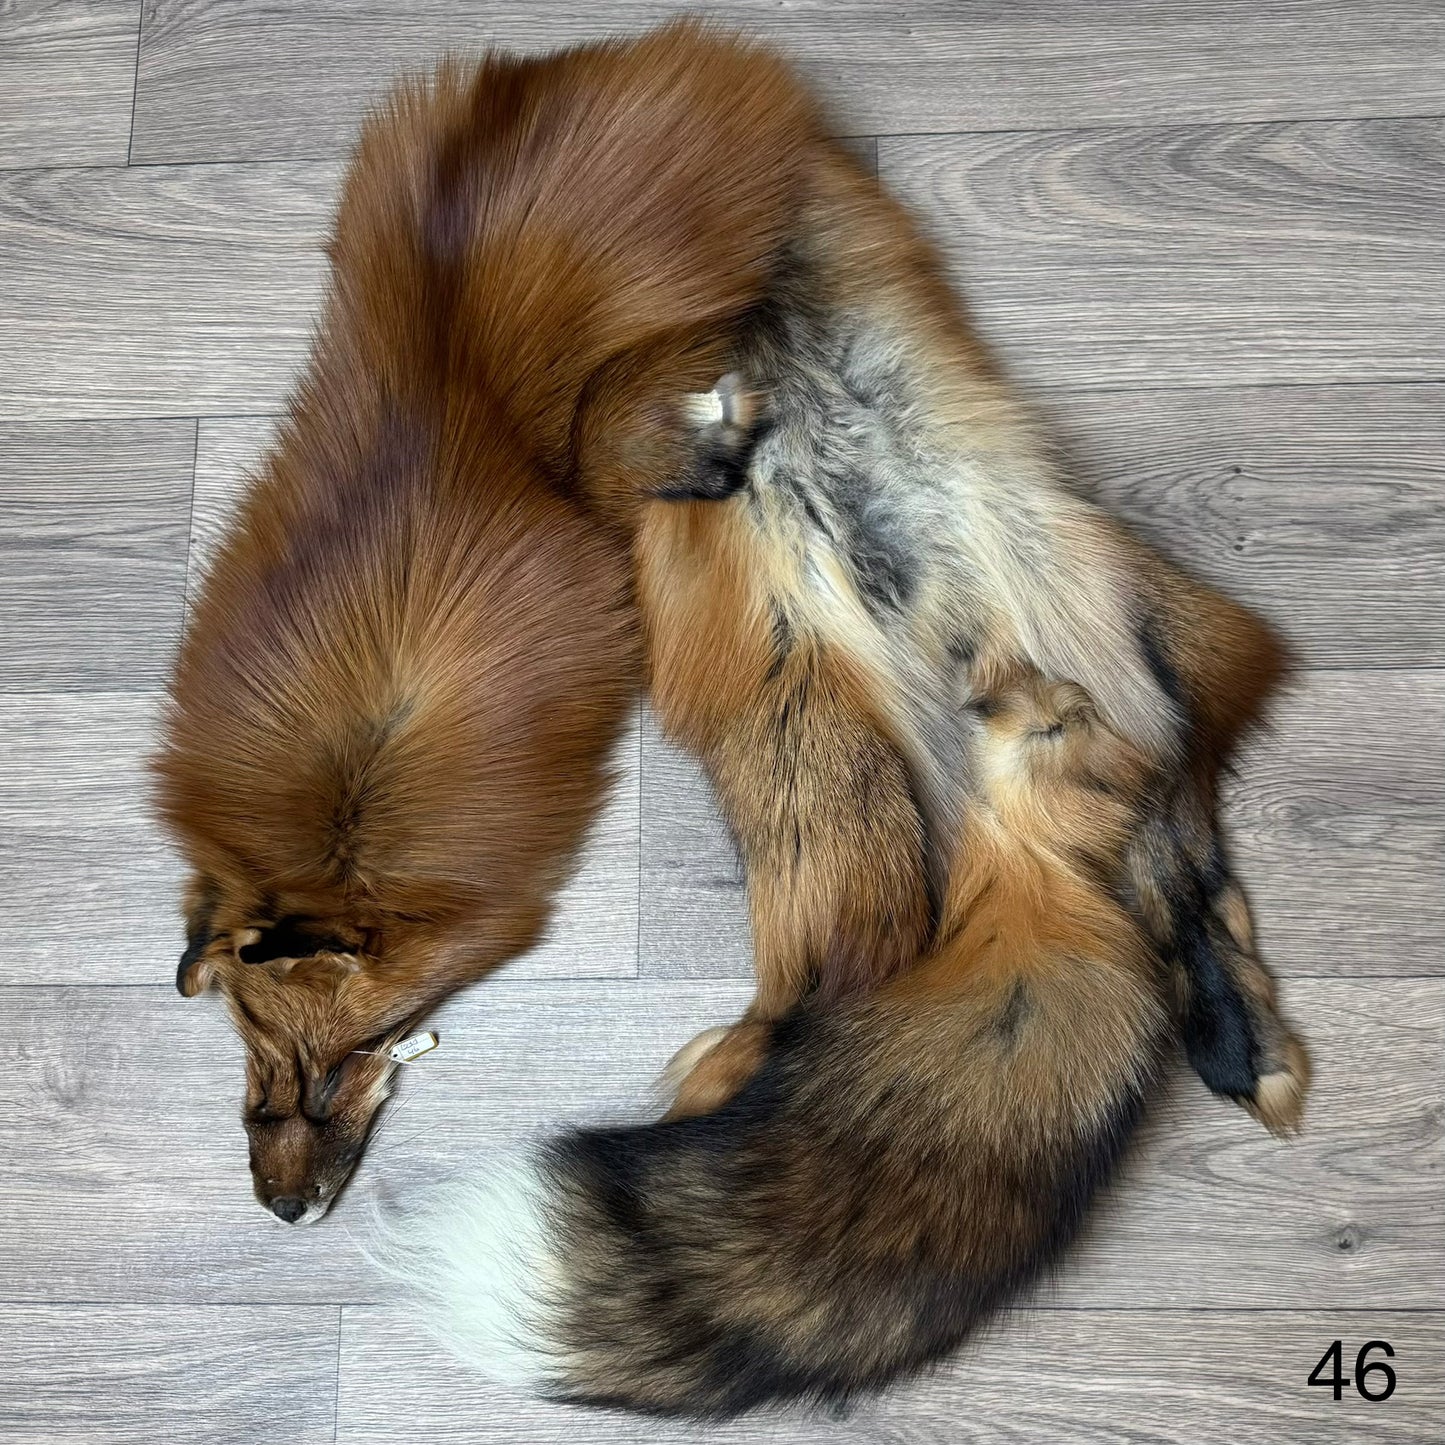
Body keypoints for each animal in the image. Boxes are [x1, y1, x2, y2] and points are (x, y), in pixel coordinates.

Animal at [371, 40, 1311, 1414]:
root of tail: (1001, 791)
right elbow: (611, 411)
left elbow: (611, 399)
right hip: (852, 773)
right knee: (1145, 874)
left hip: (1085, 659)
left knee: (1168, 866)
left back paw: (1230, 1032)